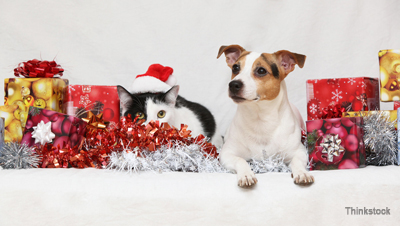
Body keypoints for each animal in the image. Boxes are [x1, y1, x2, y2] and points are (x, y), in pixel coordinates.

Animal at [217, 44, 314, 187]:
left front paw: (302, 173)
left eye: (261, 70)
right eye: (235, 68)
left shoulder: (299, 151)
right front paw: (246, 174)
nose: (233, 84)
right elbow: (240, 160)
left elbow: (297, 161)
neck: (260, 119)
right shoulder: (227, 154)